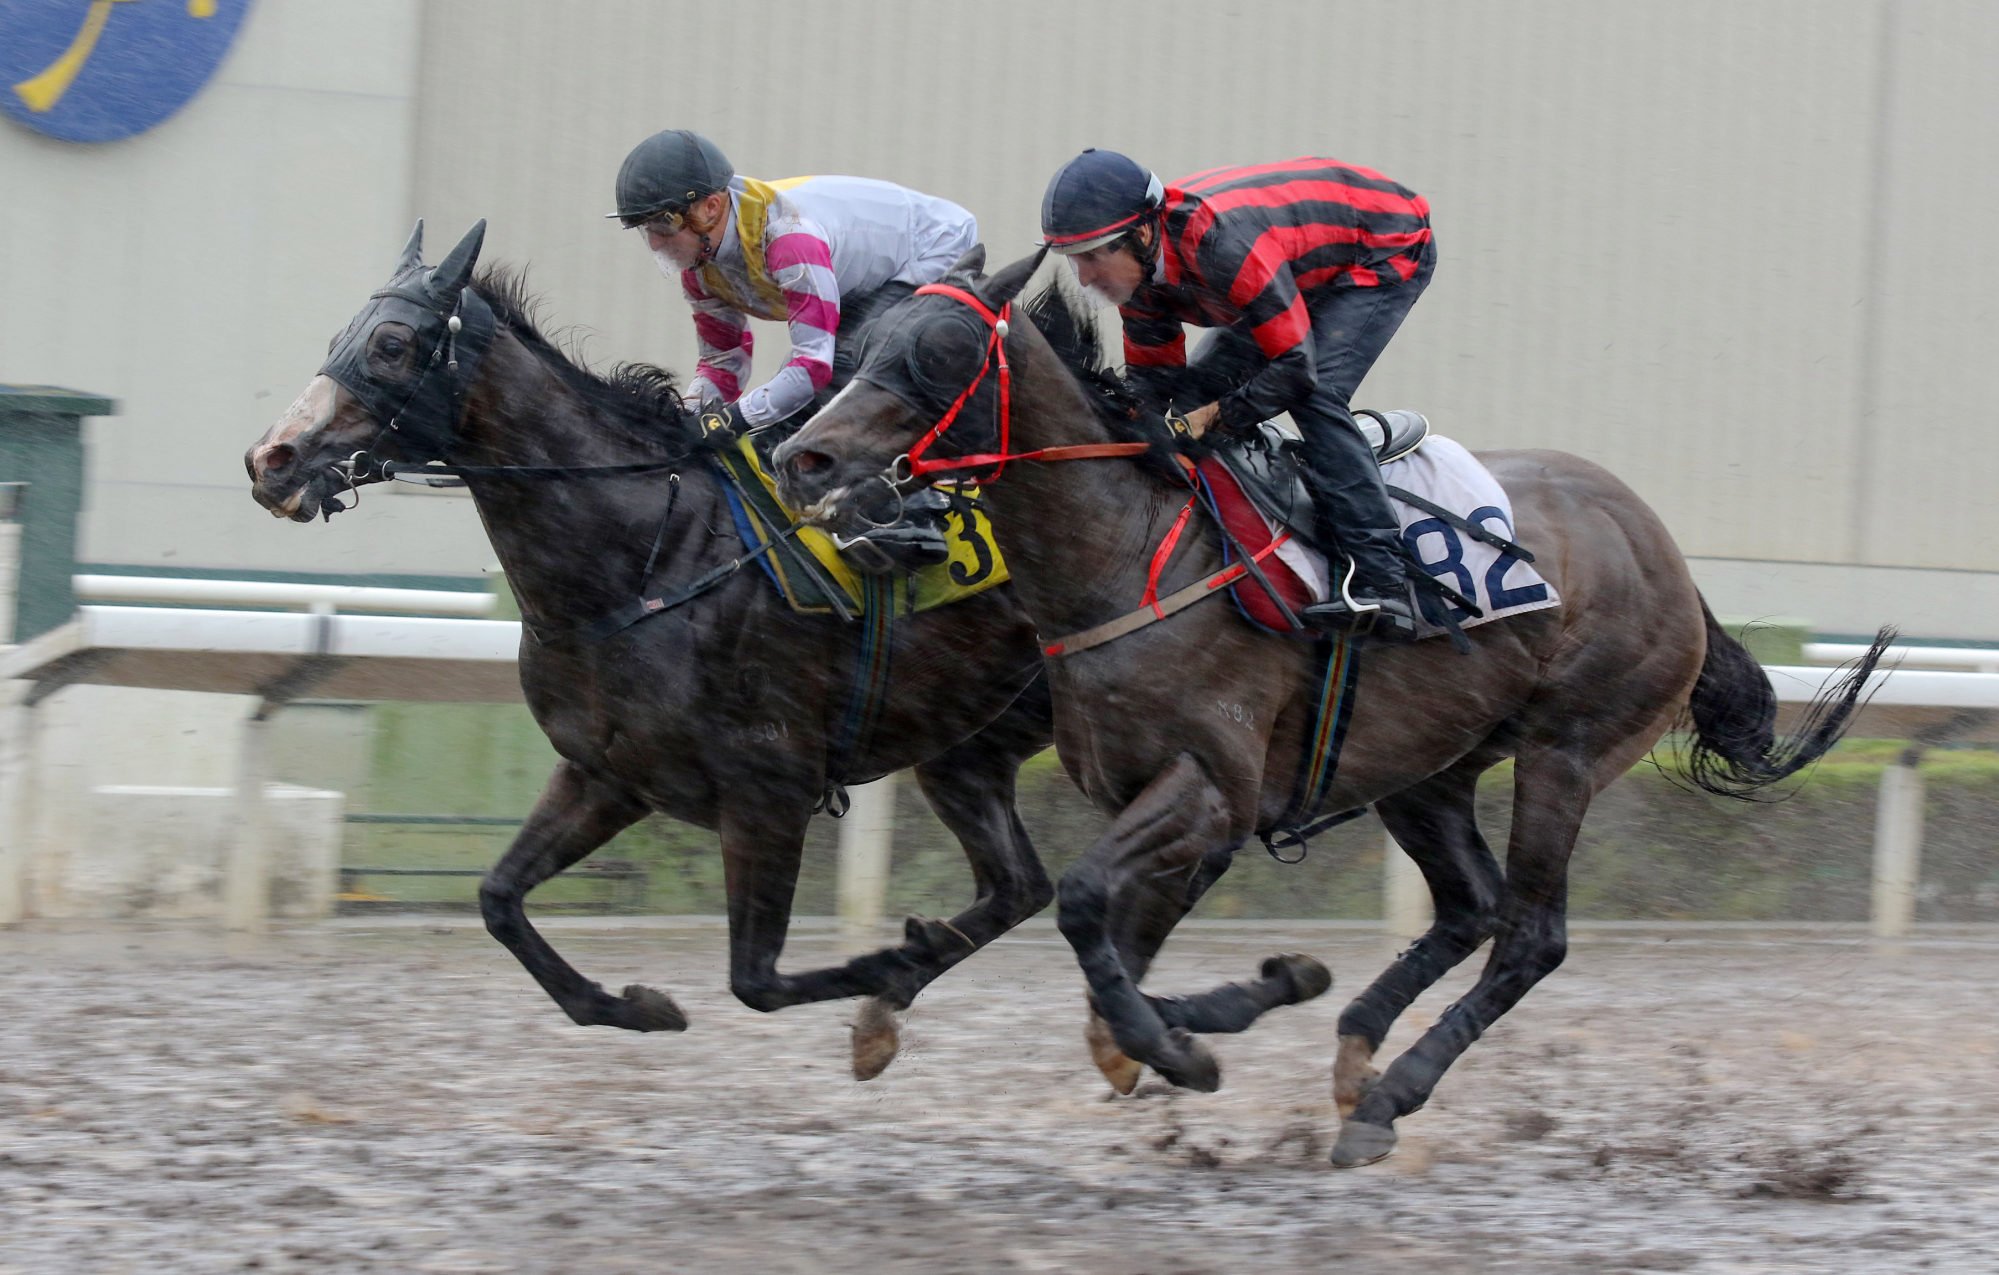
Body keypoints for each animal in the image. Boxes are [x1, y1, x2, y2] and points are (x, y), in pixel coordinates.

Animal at [767, 247, 1887, 1167]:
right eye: (860, 347)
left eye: (941, 351)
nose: (804, 458)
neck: (1122, 554)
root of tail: (1665, 552)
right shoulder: (1179, 803)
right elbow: (1107, 957)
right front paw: (1198, 1016)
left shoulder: (1213, 790)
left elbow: (1086, 909)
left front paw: (1182, 1041)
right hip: (1430, 766)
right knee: (1472, 907)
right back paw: (1354, 1055)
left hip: (1566, 754)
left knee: (1530, 934)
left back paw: (1387, 1095)